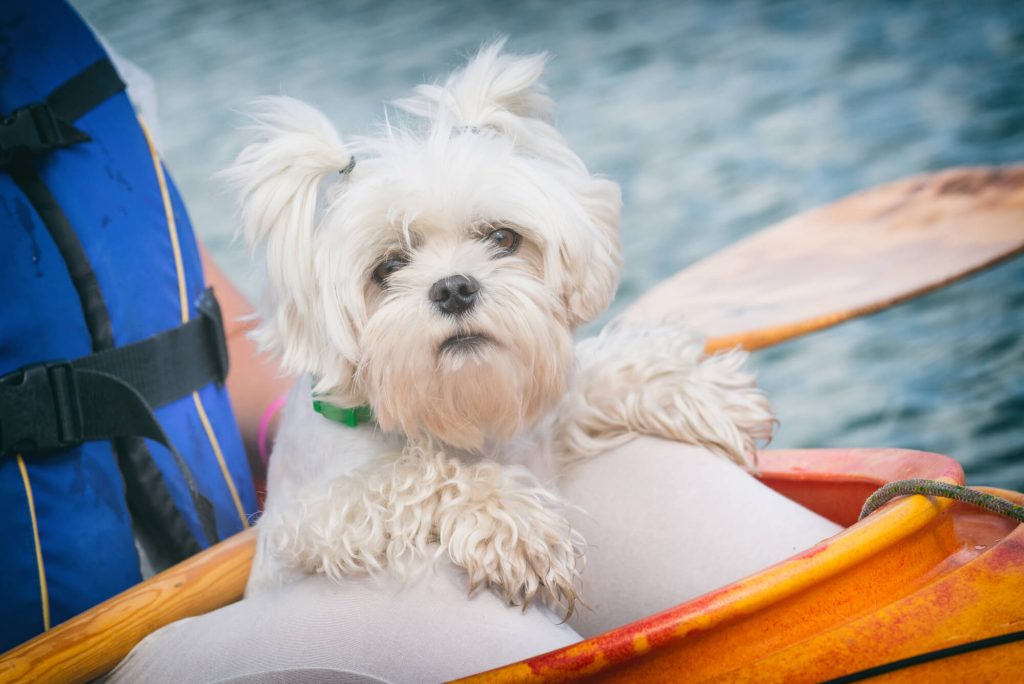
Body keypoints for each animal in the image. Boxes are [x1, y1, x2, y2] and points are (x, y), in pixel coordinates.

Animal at [228, 40, 770, 618]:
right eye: (389, 266)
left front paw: (691, 386)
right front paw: (514, 523)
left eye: (502, 237)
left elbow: (587, 381)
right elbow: (417, 474)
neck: (459, 414)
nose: (452, 288)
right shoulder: (312, 518)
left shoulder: (539, 422)